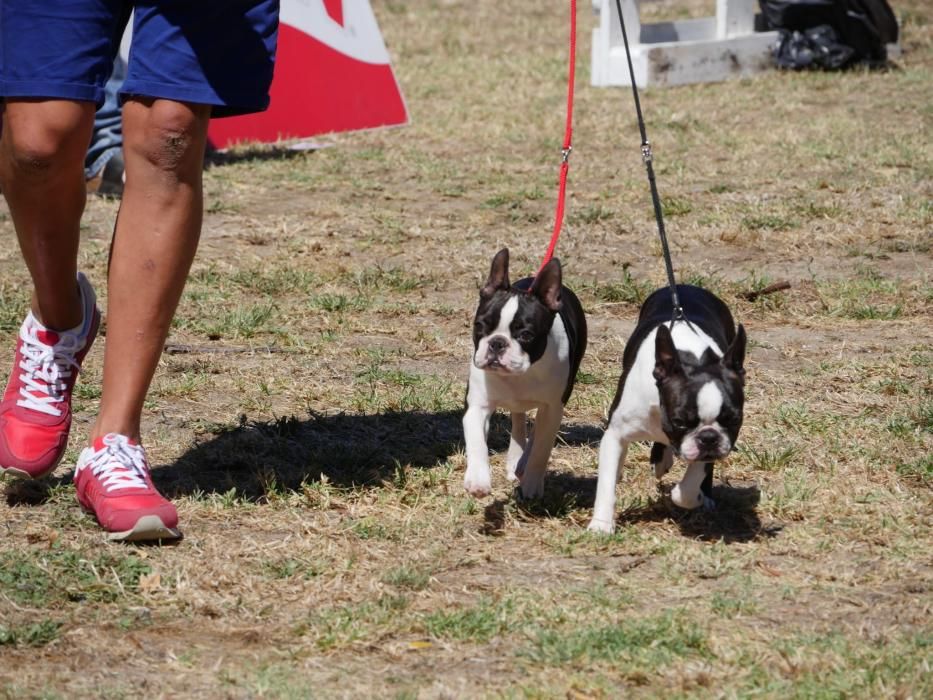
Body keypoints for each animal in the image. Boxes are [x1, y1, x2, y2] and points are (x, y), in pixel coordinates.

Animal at [462, 249, 588, 500]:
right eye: (480, 325)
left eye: (526, 335)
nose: (497, 343)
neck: (522, 374)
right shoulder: (478, 404)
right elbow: (477, 441)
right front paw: (478, 479)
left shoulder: (553, 408)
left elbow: (541, 448)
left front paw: (531, 482)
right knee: (519, 418)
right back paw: (515, 459)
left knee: (537, 428)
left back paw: (522, 465)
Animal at [588, 284, 748, 532]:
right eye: (679, 421)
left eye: (734, 420)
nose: (709, 438)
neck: (691, 357)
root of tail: (686, 286)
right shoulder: (615, 434)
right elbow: (606, 483)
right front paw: (601, 526)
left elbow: (689, 486)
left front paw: (694, 496)